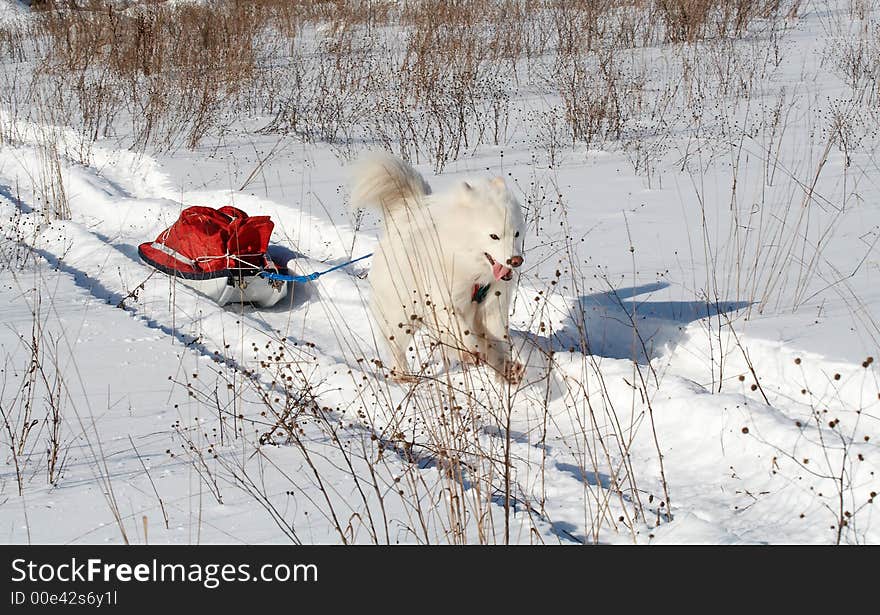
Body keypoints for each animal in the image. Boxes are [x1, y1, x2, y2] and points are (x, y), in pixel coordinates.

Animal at [348, 153, 524, 382]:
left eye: (516, 234)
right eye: (494, 236)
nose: (516, 260)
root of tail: (407, 211)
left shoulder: (493, 307)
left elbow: (498, 340)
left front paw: (508, 369)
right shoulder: (443, 302)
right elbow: (462, 333)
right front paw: (472, 352)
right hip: (403, 312)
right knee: (396, 347)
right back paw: (403, 376)